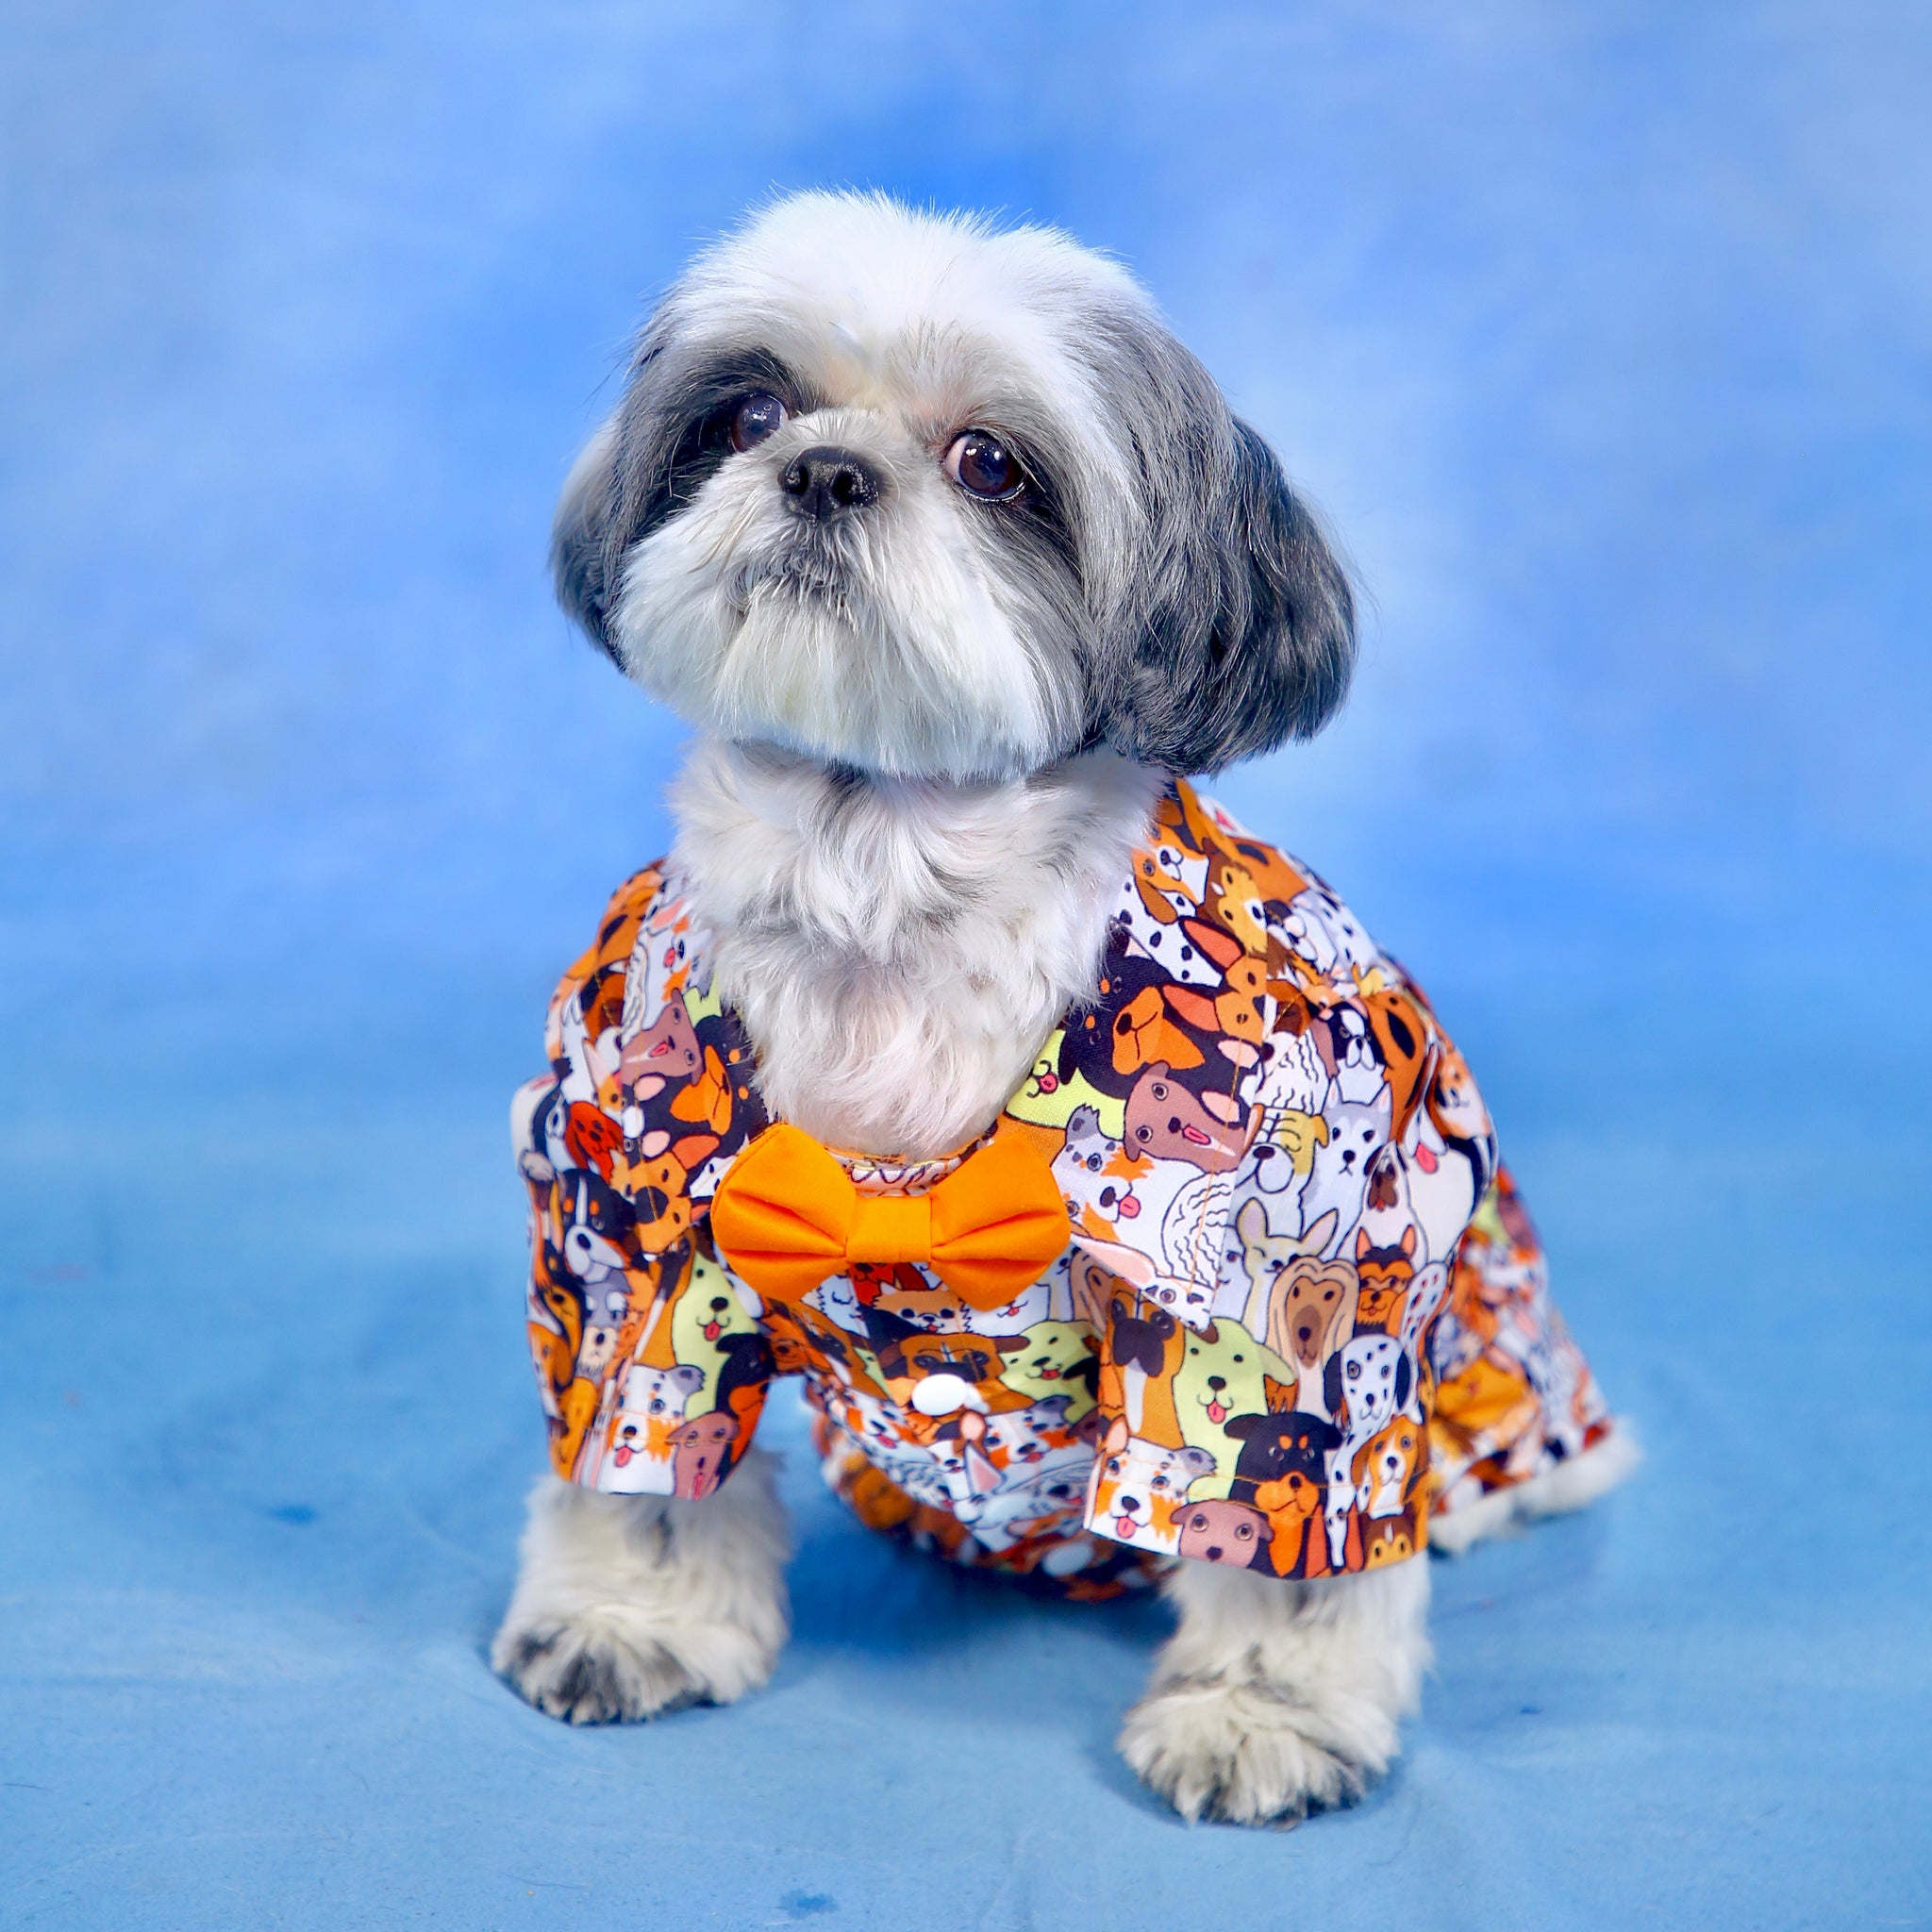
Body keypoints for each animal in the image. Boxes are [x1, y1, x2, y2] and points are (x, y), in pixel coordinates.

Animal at [494, 195, 1630, 1824]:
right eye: (747, 415)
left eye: (993, 463)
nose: (824, 469)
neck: (886, 881)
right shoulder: (628, 1222)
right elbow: (638, 1448)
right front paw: (628, 1616)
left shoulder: (1287, 1289)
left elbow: (1291, 1536)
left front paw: (1262, 1711)